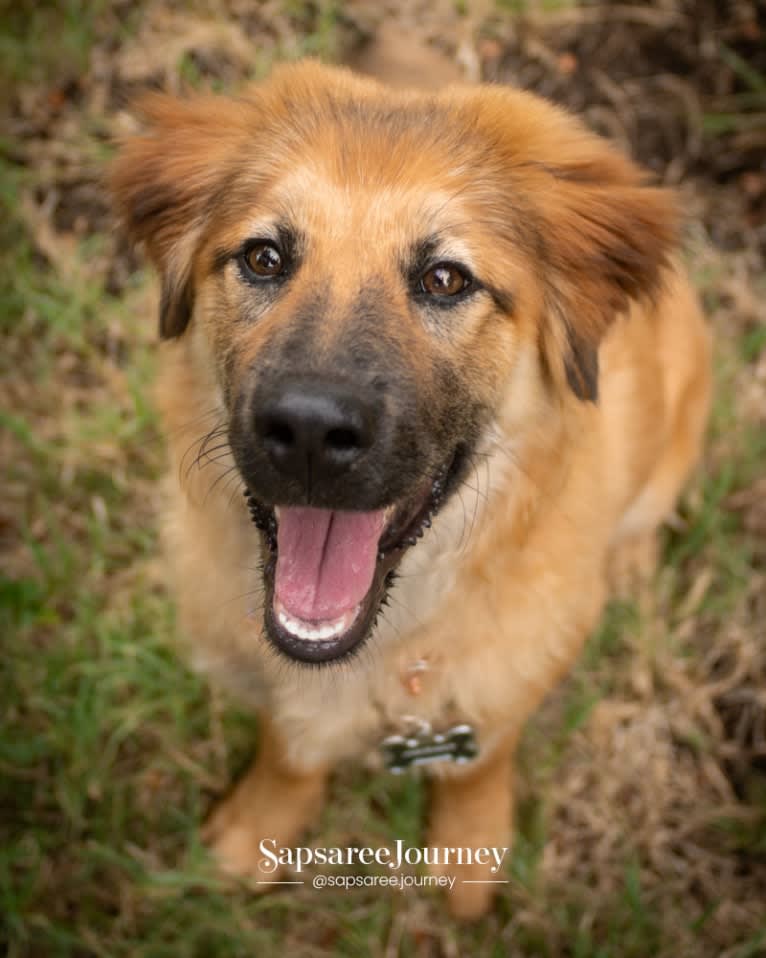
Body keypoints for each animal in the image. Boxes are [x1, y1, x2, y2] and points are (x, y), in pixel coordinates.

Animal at [109, 60, 712, 924]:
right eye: (264, 259)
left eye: (445, 279)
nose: (309, 431)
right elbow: (289, 748)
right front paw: (257, 829)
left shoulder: (506, 674)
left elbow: (480, 758)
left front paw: (470, 854)